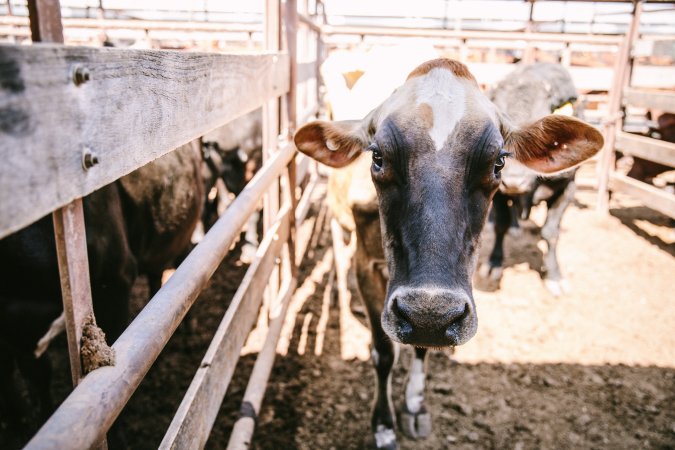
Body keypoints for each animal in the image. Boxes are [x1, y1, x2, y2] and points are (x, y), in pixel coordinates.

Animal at [294, 58, 604, 448]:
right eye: (377, 157)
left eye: (499, 162)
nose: (429, 313)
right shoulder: (368, 265)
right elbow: (384, 352)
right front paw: (384, 425)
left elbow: (422, 346)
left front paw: (415, 404)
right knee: (339, 246)